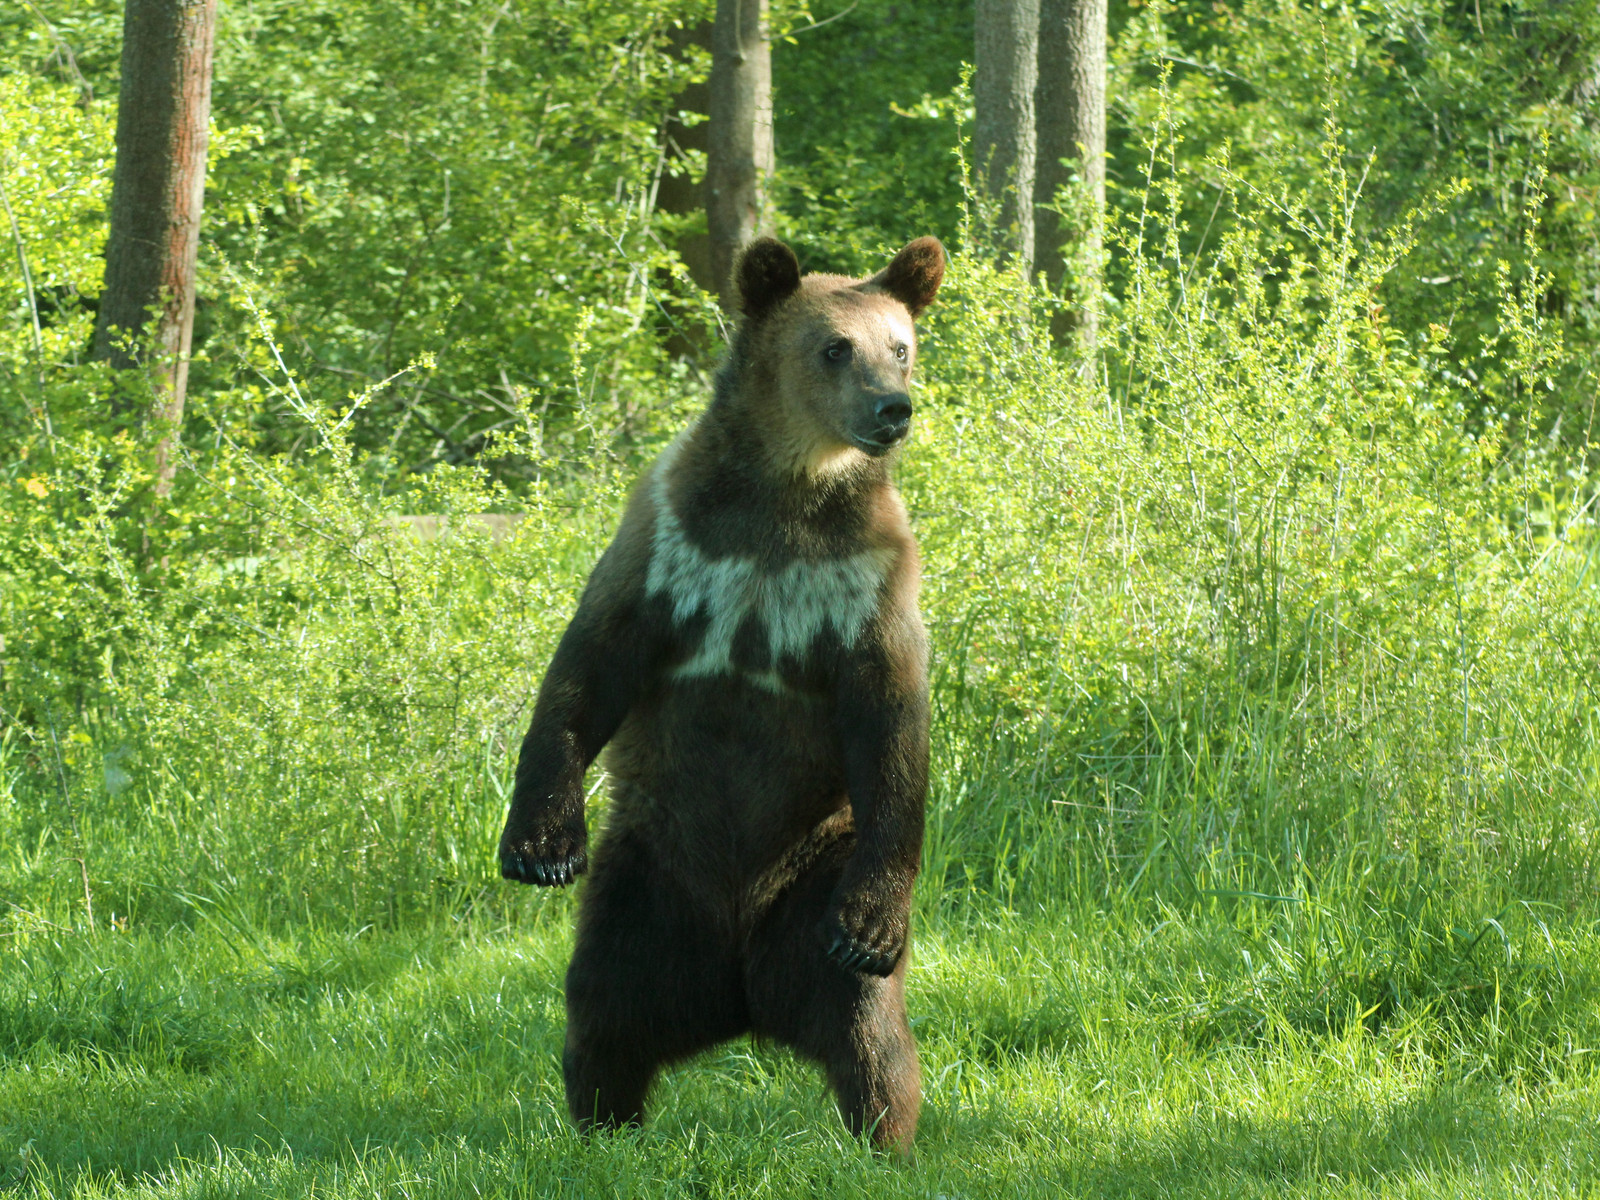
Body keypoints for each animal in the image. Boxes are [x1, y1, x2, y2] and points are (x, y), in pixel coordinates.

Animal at [497, 235, 945, 1154]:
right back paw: (606, 1128)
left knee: (870, 1032)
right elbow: (586, 671)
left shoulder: (868, 582)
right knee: (604, 1009)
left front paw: (873, 929)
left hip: (816, 874)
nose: (893, 409)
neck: (790, 489)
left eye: (902, 345)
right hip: (646, 880)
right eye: (835, 347)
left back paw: (882, 1137)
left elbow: (892, 728)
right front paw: (540, 844)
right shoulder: (672, 544)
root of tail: (742, 1000)